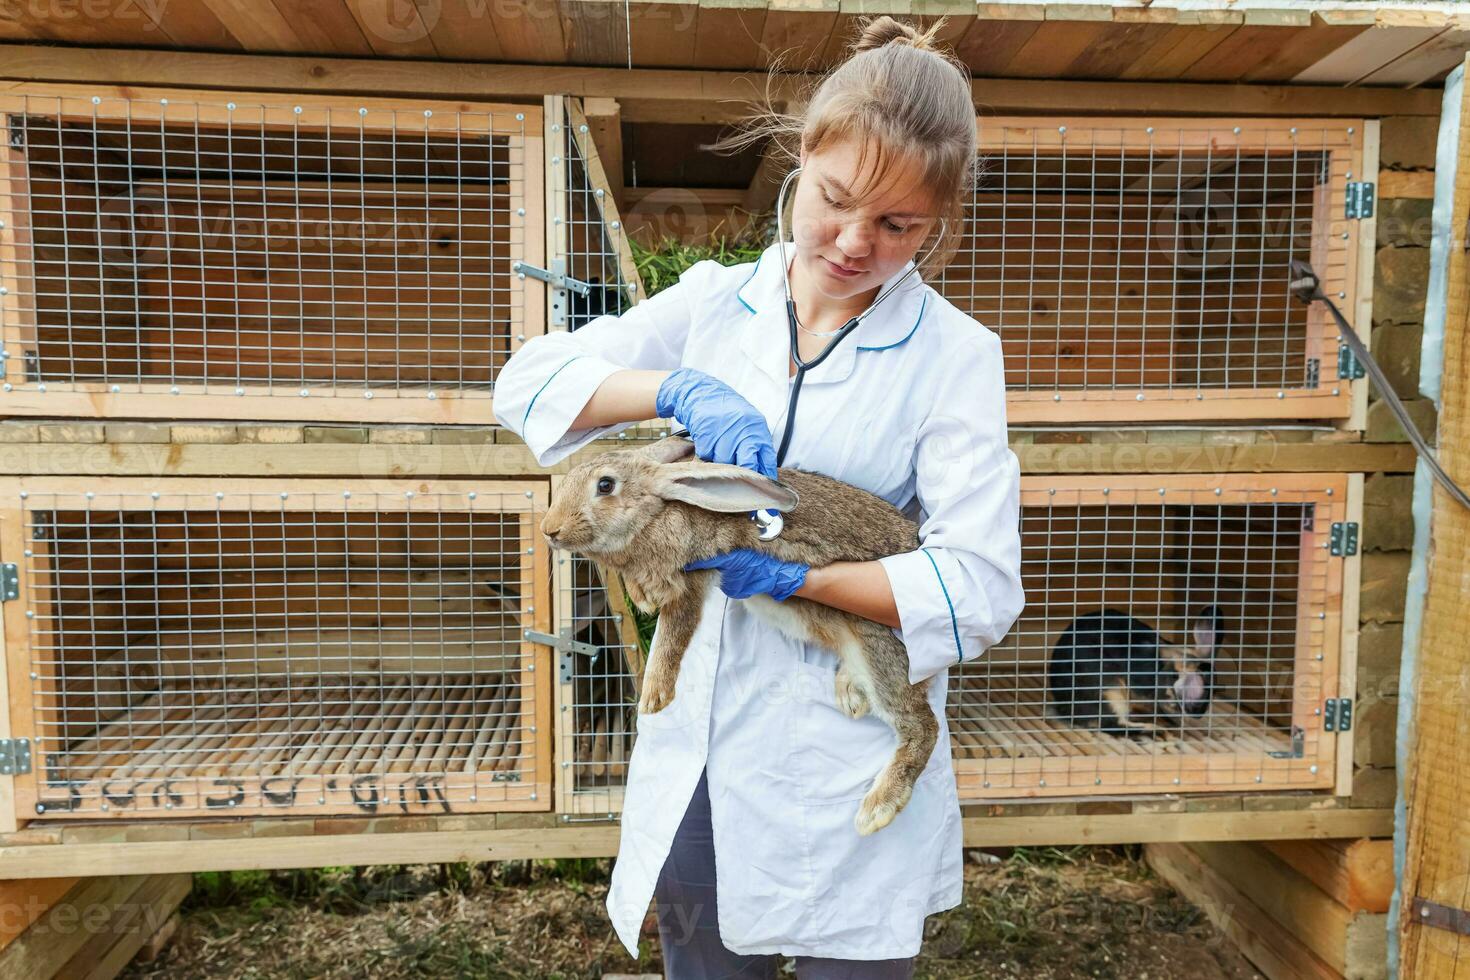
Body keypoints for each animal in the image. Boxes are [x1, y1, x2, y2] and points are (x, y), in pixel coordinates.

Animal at [543, 437, 940, 834]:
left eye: (605, 485)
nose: (550, 529)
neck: (656, 513)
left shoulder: (691, 580)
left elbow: (673, 637)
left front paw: (654, 698)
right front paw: (641, 598)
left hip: (879, 646)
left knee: (922, 724)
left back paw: (878, 807)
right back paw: (849, 693)